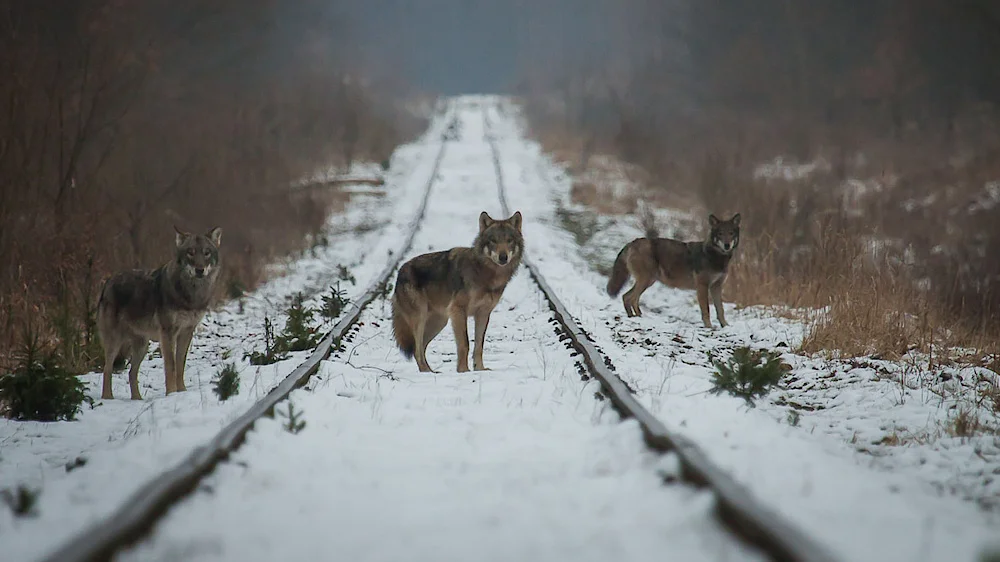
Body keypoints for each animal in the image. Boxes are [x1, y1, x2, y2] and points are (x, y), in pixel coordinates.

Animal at [98, 224, 223, 398]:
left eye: (206, 252)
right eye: (190, 252)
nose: (200, 270)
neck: (191, 295)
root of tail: (108, 282)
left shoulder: (187, 332)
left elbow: (180, 366)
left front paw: (182, 391)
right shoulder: (168, 333)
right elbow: (171, 366)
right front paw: (171, 393)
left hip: (142, 346)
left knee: (131, 373)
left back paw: (137, 399)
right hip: (115, 342)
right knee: (107, 369)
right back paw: (108, 398)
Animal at [394, 210, 528, 372]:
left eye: (509, 240)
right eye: (493, 241)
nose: (503, 257)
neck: (484, 272)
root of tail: (400, 271)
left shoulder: (483, 314)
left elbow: (479, 345)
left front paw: (480, 369)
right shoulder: (458, 311)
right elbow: (465, 343)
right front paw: (463, 370)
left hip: (439, 322)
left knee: (419, 348)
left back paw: (432, 372)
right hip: (421, 319)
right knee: (417, 349)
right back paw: (427, 372)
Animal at [604, 213, 740, 328]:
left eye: (731, 233)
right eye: (720, 233)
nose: (727, 245)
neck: (716, 257)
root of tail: (632, 242)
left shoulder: (716, 287)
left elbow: (720, 309)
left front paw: (725, 326)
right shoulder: (702, 286)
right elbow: (706, 309)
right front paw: (709, 327)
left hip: (648, 281)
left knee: (628, 297)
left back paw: (636, 317)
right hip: (645, 280)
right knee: (629, 297)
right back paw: (636, 318)